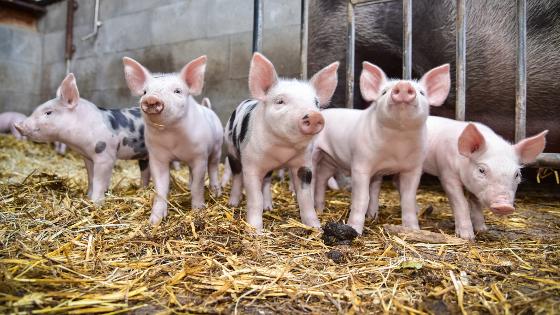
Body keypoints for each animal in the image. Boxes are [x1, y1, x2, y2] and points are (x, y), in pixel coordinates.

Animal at [15, 73, 150, 202]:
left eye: (48, 113)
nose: (18, 125)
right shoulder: (87, 157)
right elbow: (91, 178)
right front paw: (88, 197)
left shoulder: (105, 156)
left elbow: (99, 181)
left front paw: (95, 202)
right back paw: (142, 190)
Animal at [123, 56, 223, 225]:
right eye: (145, 91)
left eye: (177, 91)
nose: (151, 98)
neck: (172, 139)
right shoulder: (157, 157)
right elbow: (161, 187)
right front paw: (154, 221)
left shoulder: (200, 156)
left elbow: (198, 186)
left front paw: (198, 210)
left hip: (217, 148)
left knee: (213, 168)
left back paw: (216, 192)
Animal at [223, 53, 336, 233]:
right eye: (280, 101)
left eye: (316, 103)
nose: (314, 116)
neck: (283, 150)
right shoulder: (251, 164)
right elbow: (255, 198)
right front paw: (255, 232)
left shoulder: (304, 163)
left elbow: (305, 198)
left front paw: (316, 228)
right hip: (231, 149)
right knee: (237, 176)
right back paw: (233, 203)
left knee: (267, 182)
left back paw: (269, 207)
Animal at [312, 62, 452, 235]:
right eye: (384, 92)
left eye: (422, 92)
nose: (403, 85)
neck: (397, 143)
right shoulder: (360, 162)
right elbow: (362, 198)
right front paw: (354, 230)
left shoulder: (413, 168)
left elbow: (408, 199)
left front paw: (413, 230)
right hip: (317, 152)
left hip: (330, 160)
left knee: (322, 178)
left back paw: (323, 209)